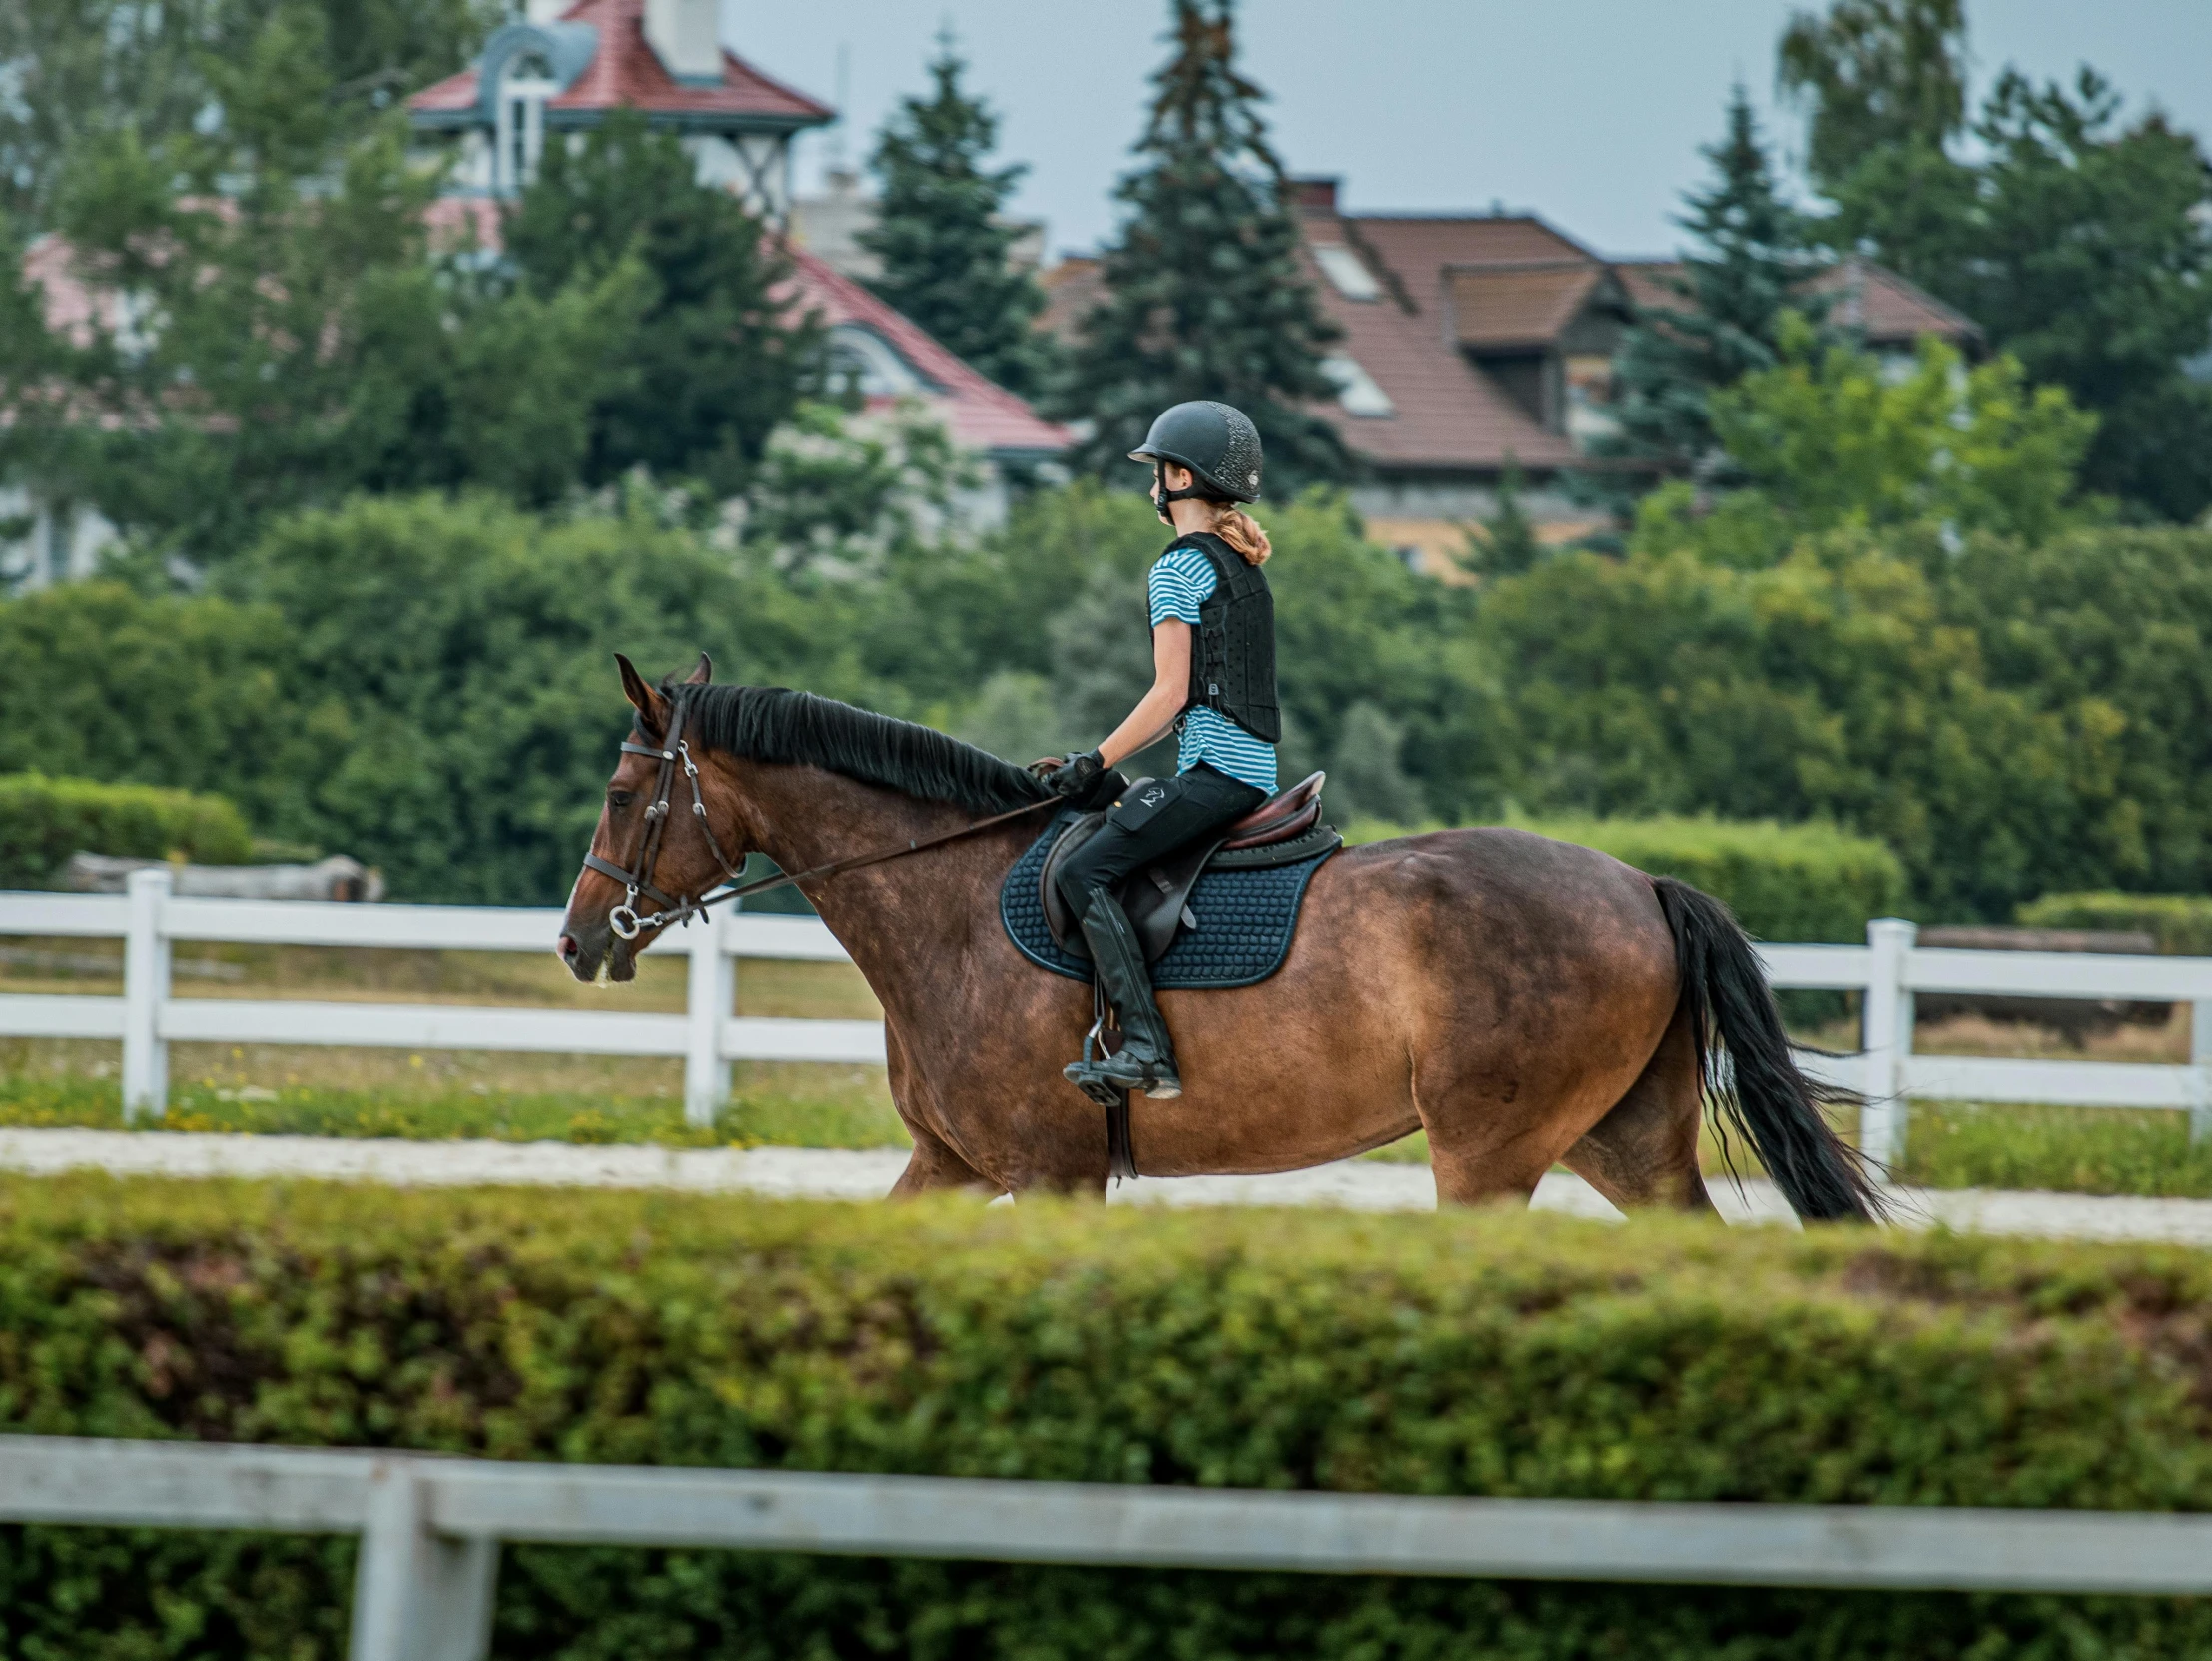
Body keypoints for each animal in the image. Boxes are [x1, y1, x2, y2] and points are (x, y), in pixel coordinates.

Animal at [557, 658, 1884, 1221]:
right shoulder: (953, 1163)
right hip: (1624, 1140)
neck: (949, 895)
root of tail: (1640, 884)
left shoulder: (1050, 1172)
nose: (577, 942)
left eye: (621, 794)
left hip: (1489, 1152)